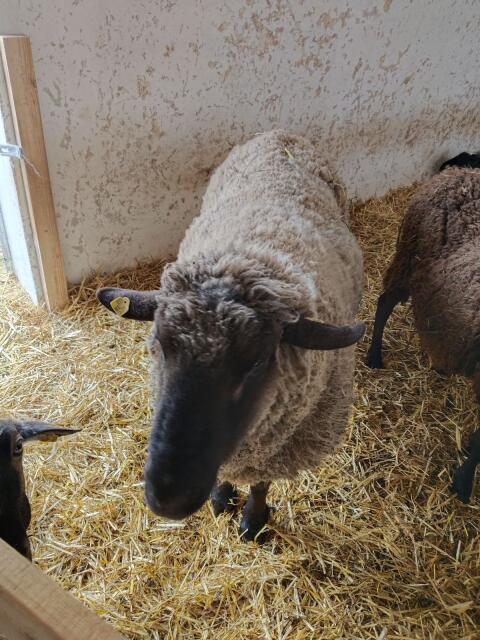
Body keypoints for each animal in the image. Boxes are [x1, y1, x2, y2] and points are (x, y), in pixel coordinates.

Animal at [97, 130, 365, 541]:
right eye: (159, 346)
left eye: (256, 362)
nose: (167, 501)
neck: (248, 252)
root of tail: (280, 132)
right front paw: (221, 498)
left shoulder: (272, 448)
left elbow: (261, 483)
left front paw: (253, 519)